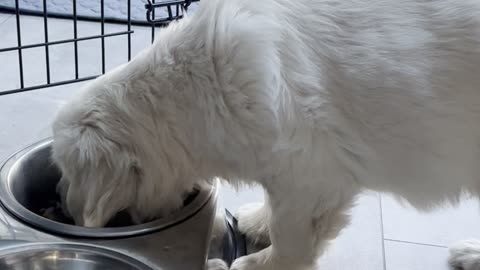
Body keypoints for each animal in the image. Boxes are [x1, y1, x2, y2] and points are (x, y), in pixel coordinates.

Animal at [51, 0, 480, 268]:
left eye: (67, 172)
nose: (62, 204)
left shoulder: (309, 175)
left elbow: (290, 233)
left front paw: (261, 263)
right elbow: (276, 210)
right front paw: (256, 221)